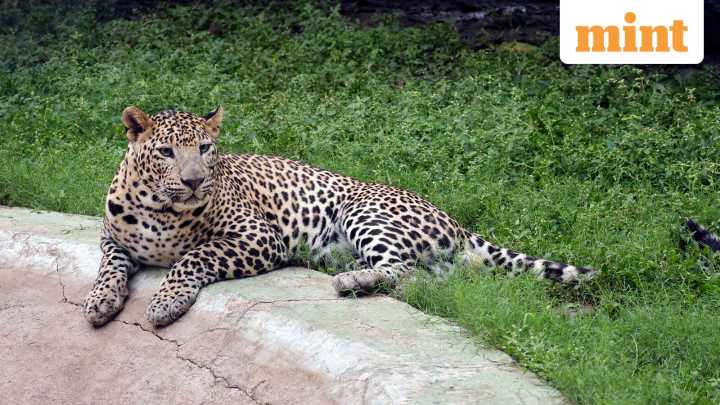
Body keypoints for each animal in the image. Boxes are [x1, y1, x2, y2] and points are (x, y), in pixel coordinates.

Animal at [83, 106, 596, 327]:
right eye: (167, 152)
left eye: (205, 149)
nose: (193, 181)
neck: (160, 207)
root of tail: (455, 220)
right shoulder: (113, 239)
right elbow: (109, 266)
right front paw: (100, 301)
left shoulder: (258, 237)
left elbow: (193, 258)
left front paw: (166, 302)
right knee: (430, 281)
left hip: (362, 210)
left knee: (403, 271)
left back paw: (351, 281)